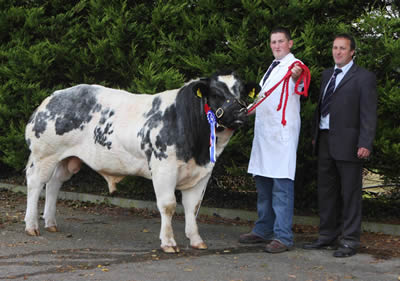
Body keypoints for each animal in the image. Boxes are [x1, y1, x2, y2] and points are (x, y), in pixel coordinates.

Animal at [24, 70, 260, 252]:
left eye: (242, 92)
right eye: (217, 93)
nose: (241, 112)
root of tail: (54, 97)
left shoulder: (202, 173)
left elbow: (192, 207)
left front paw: (196, 240)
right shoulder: (164, 168)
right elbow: (168, 205)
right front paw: (168, 242)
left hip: (67, 159)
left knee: (54, 184)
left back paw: (51, 223)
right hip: (44, 154)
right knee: (35, 183)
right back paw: (32, 225)